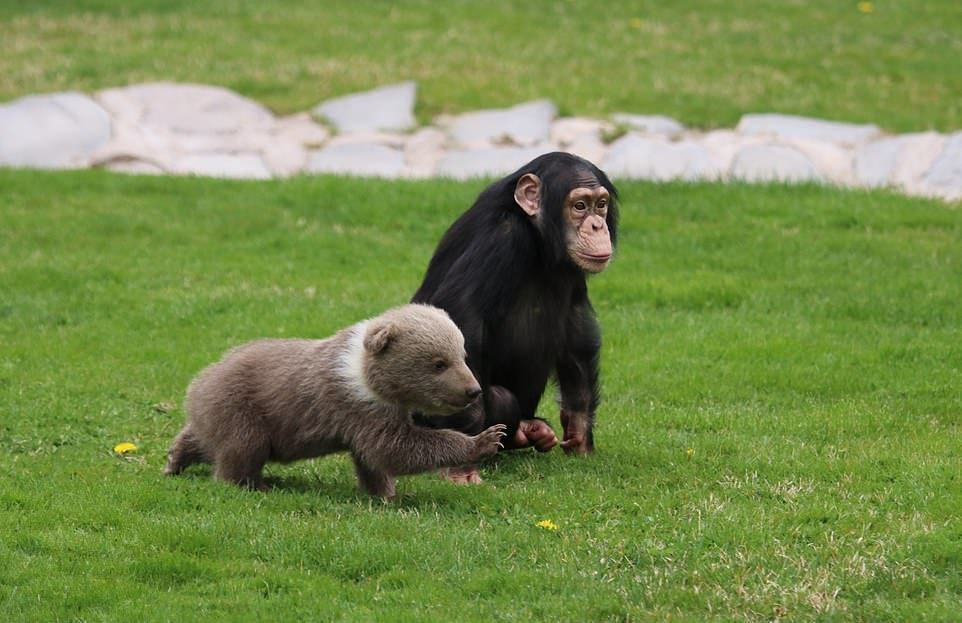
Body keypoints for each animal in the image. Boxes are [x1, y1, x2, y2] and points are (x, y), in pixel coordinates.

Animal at [410, 154, 620, 486]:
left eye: (600, 205)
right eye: (579, 206)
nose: (597, 225)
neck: (534, 234)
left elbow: (575, 326)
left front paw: (579, 429)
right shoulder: (501, 238)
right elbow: (463, 314)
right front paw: (461, 464)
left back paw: (532, 431)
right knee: (502, 399)